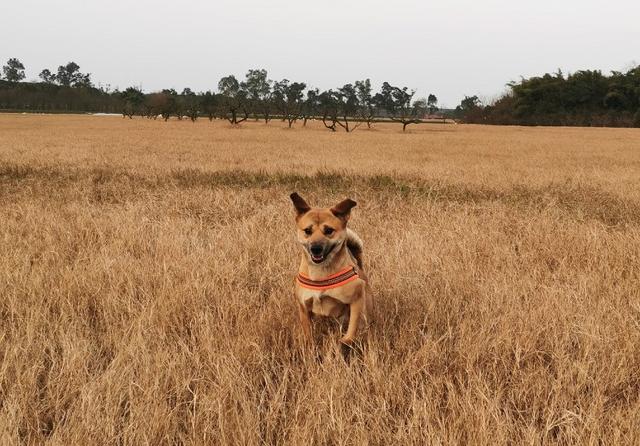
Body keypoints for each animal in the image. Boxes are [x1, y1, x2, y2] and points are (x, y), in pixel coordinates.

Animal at [288, 193, 370, 344]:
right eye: (307, 230)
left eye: (329, 230)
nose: (316, 248)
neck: (320, 274)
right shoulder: (303, 307)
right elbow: (308, 335)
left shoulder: (357, 300)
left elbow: (352, 329)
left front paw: (346, 342)